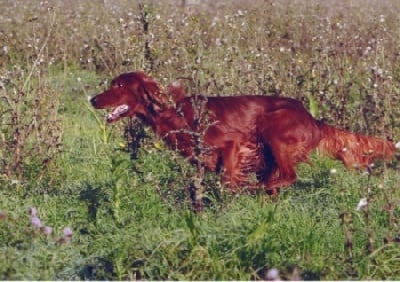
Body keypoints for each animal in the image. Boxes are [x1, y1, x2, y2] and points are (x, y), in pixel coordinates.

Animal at [90, 71, 396, 193]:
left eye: (119, 86)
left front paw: (239, 188)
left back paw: (257, 189)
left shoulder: (233, 143)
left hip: (273, 127)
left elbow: (227, 179)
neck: (171, 112)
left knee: (287, 176)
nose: (93, 99)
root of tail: (313, 119)